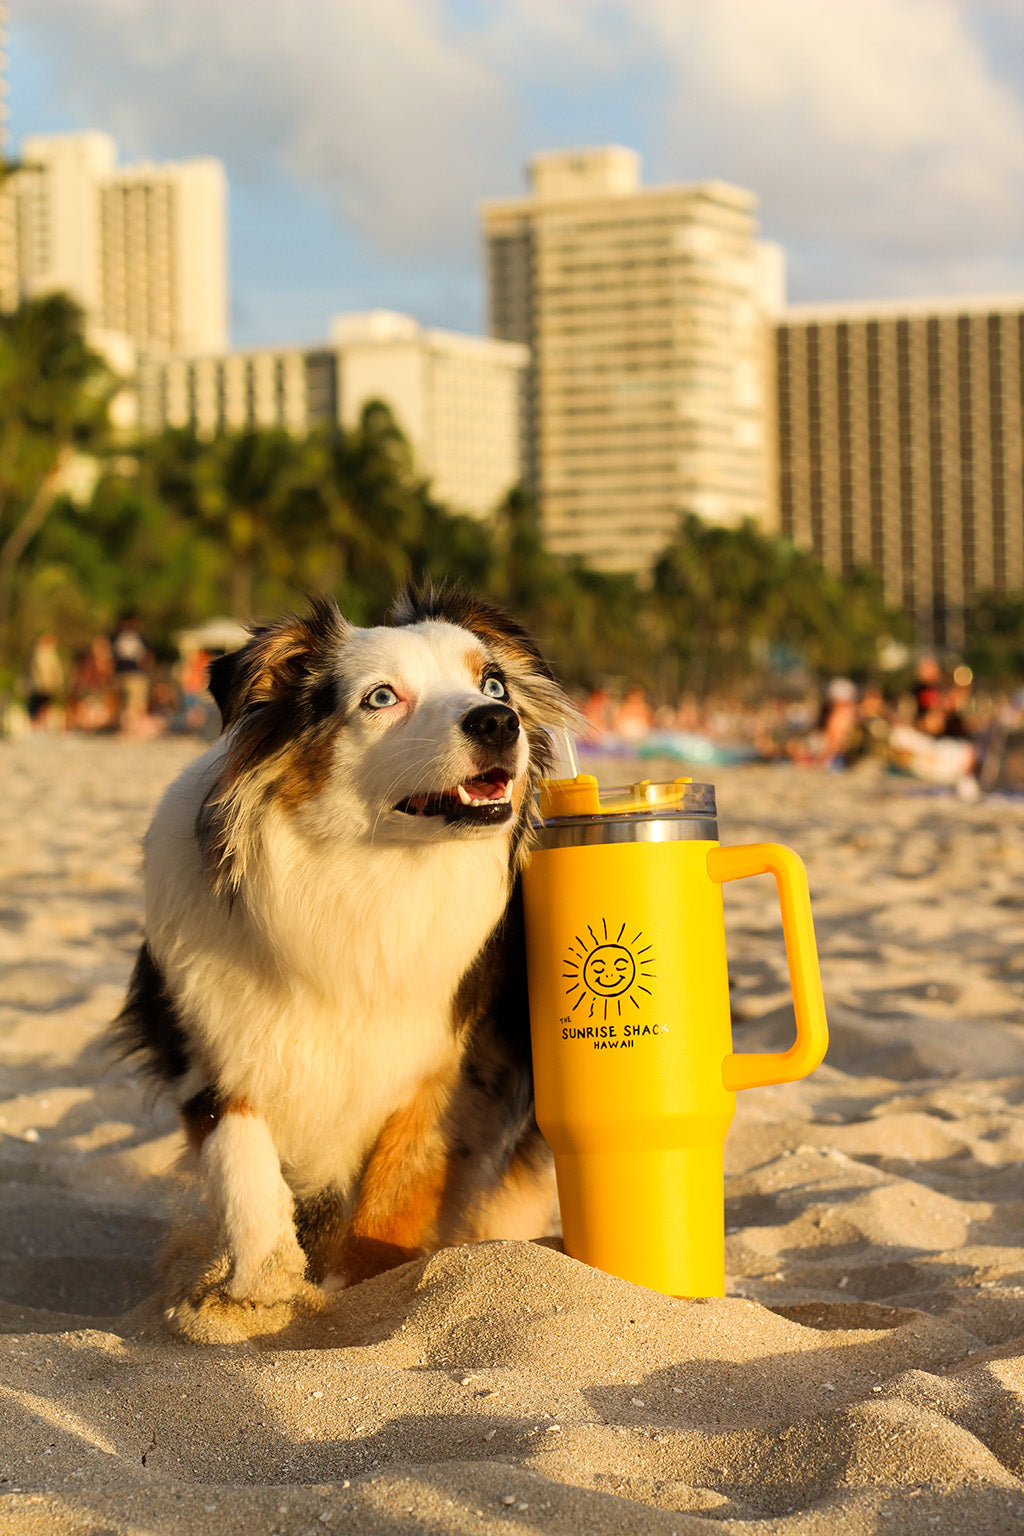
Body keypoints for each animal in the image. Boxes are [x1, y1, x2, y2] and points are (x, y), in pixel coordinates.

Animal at [112, 580, 580, 1339]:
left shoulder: (452, 1067)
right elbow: (241, 1151)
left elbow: (394, 1196)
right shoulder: (205, 1040)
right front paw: (258, 1287)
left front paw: (359, 1298)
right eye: (381, 697)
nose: (497, 721)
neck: (365, 878)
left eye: (493, 683)